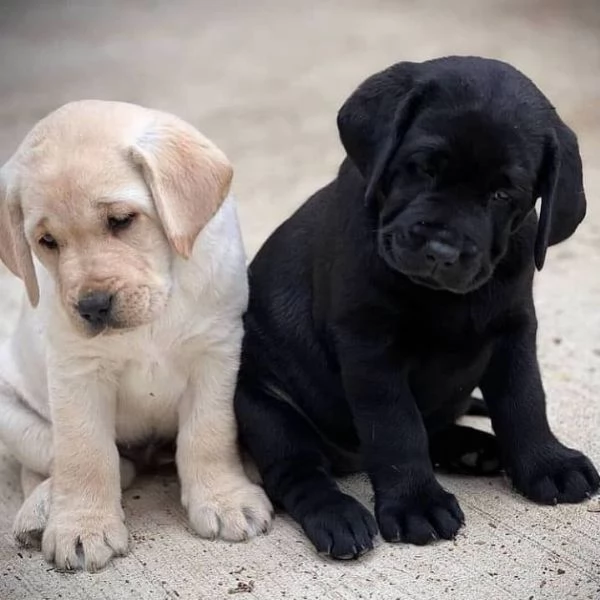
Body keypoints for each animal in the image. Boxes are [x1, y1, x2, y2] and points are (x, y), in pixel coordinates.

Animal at [0, 99, 272, 572]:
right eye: (47, 241)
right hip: (10, 409)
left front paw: (224, 498)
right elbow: (85, 451)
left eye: (122, 220)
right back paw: (40, 509)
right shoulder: (76, 371)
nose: (92, 306)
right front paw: (82, 525)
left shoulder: (216, 352)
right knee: (46, 463)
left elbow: (209, 434)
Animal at [234, 56, 600, 556]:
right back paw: (340, 516)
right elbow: (396, 427)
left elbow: (525, 398)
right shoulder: (369, 345)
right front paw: (415, 503)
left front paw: (547, 462)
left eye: (503, 195)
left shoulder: (515, 329)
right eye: (422, 168)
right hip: (265, 405)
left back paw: (475, 449)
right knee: (299, 471)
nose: (442, 251)